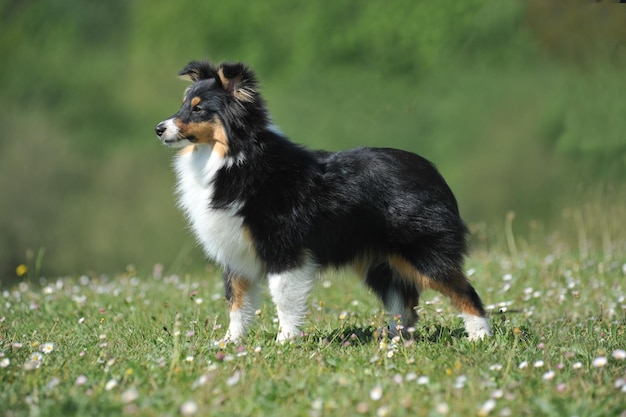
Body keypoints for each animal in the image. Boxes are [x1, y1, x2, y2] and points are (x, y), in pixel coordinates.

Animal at [154, 60, 490, 342]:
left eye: (199, 109)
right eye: (183, 104)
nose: (158, 129)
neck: (232, 159)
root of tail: (432, 170)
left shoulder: (284, 249)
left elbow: (283, 298)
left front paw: (285, 342)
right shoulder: (235, 254)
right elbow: (237, 303)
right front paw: (230, 343)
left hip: (422, 252)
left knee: (465, 291)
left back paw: (479, 336)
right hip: (380, 261)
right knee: (403, 302)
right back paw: (394, 340)